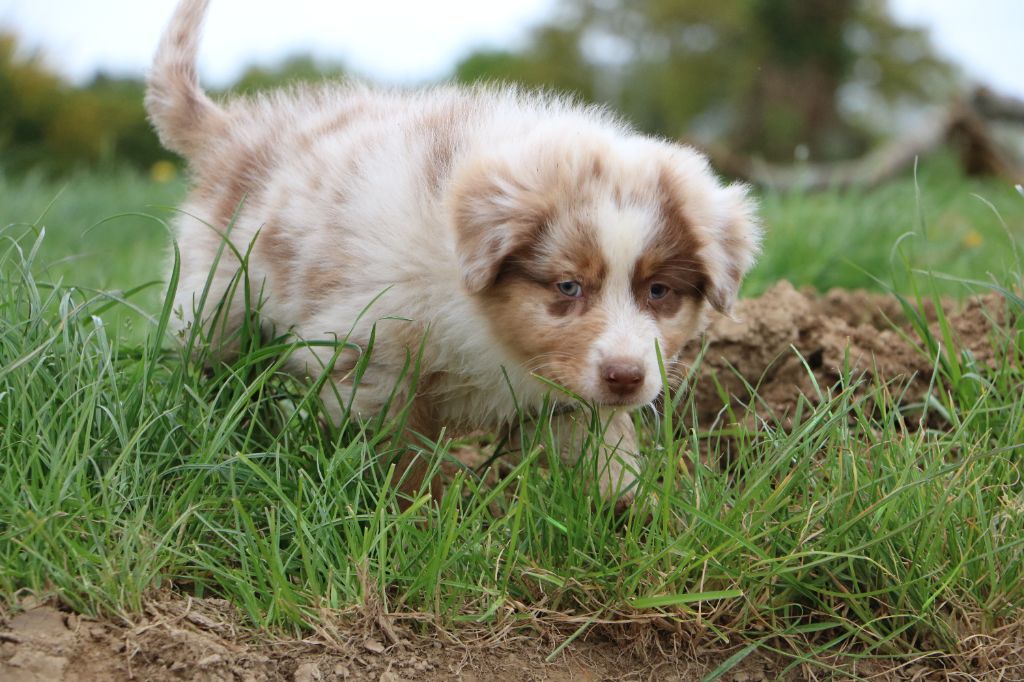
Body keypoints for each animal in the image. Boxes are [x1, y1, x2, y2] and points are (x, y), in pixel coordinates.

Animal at [146, 0, 761, 506]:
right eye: (568, 286)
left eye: (659, 291)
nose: (626, 377)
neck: (485, 325)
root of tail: (232, 132)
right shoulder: (371, 354)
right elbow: (401, 453)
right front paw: (417, 517)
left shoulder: (569, 394)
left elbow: (604, 450)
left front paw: (634, 516)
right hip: (217, 298)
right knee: (214, 367)